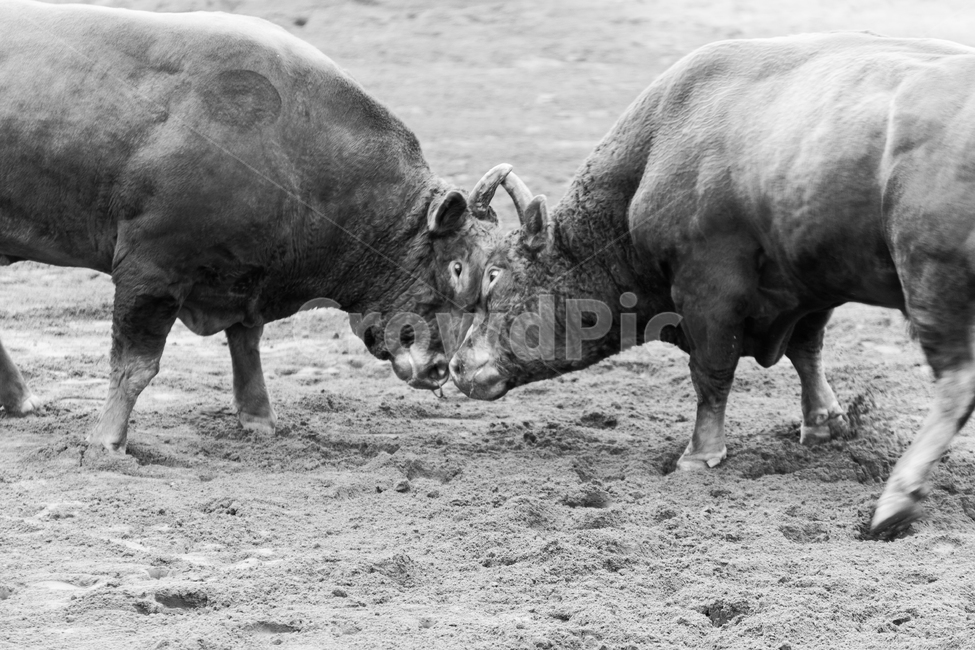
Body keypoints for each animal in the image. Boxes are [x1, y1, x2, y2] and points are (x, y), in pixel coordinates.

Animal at [0, 0, 505, 453]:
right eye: (455, 268)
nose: (440, 370)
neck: (294, 146)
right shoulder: (150, 270)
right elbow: (136, 366)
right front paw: (107, 442)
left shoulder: (245, 275)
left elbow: (247, 344)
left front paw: (258, 418)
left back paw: (21, 401)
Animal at [450, 32, 975, 537]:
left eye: (494, 275)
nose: (457, 366)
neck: (653, 154)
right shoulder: (811, 282)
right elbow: (807, 350)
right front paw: (823, 423)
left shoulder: (709, 290)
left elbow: (712, 374)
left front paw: (699, 455)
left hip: (931, 282)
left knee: (957, 383)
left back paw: (895, 502)